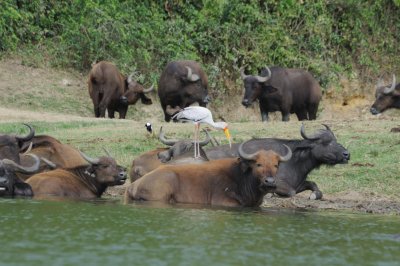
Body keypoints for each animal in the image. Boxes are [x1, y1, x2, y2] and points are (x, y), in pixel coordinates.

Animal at [205, 124, 348, 200]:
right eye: (325, 142)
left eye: (335, 140)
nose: (347, 154)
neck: (294, 161)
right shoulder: (279, 182)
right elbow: (291, 192)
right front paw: (271, 195)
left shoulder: (298, 183)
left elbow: (314, 186)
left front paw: (314, 195)